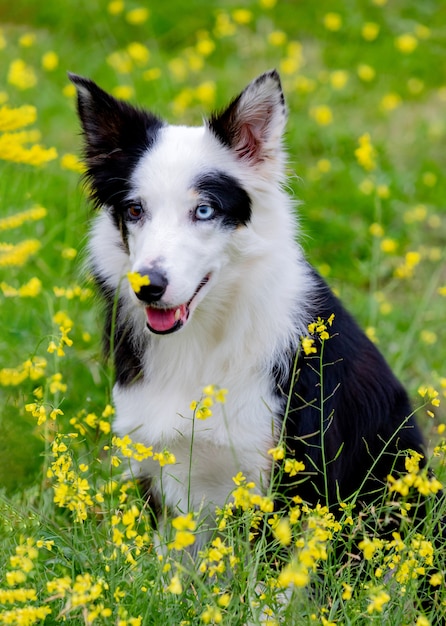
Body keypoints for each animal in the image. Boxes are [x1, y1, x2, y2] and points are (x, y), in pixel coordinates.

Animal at [69, 70, 426, 544]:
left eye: (204, 210)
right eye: (134, 209)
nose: (148, 286)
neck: (203, 342)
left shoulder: (284, 478)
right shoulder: (162, 473)